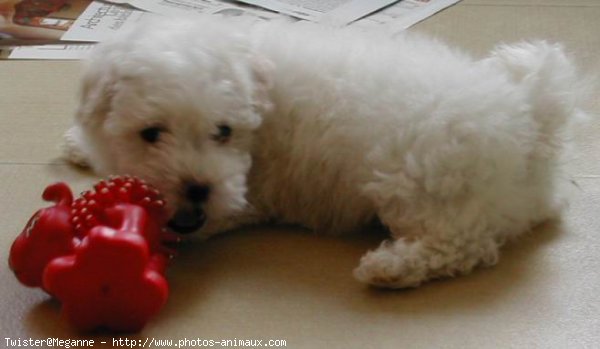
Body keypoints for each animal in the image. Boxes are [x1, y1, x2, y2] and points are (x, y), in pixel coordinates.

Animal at [64, 14, 584, 286]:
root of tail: (530, 115)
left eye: (224, 131)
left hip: (418, 183)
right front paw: (78, 143)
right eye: (152, 133)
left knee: (461, 244)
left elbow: (212, 219)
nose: (198, 188)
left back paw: (388, 267)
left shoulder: (250, 194)